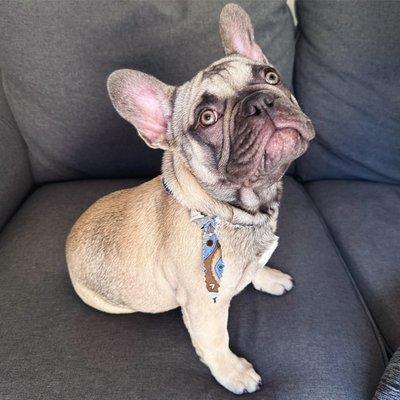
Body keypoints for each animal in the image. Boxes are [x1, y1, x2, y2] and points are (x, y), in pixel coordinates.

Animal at [66, 3, 316, 394]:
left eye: (272, 76)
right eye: (207, 118)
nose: (260, 101)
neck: (236, 212)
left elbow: (256, 270)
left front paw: (268, 276)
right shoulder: (205, 307)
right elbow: (216, 342)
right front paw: (234, 373)